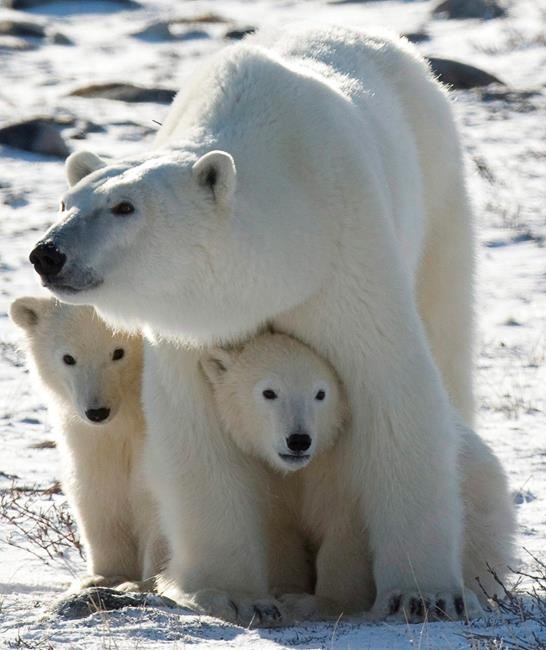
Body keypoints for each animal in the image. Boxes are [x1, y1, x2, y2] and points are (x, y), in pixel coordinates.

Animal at [10, 297, 166, 592]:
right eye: (68, 358)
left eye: (118, 352)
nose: (97, 412)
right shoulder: (89, 437)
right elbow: (98, 488)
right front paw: (105, 576)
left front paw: (145, 583)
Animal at [203, 335, 515, 622]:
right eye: (269, 392)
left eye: (320, 393)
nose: (299, 440)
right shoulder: (269, 478)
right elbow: (279, 533)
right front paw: (282, 590)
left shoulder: (348, 469)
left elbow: (346, 536)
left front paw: (316, 603)